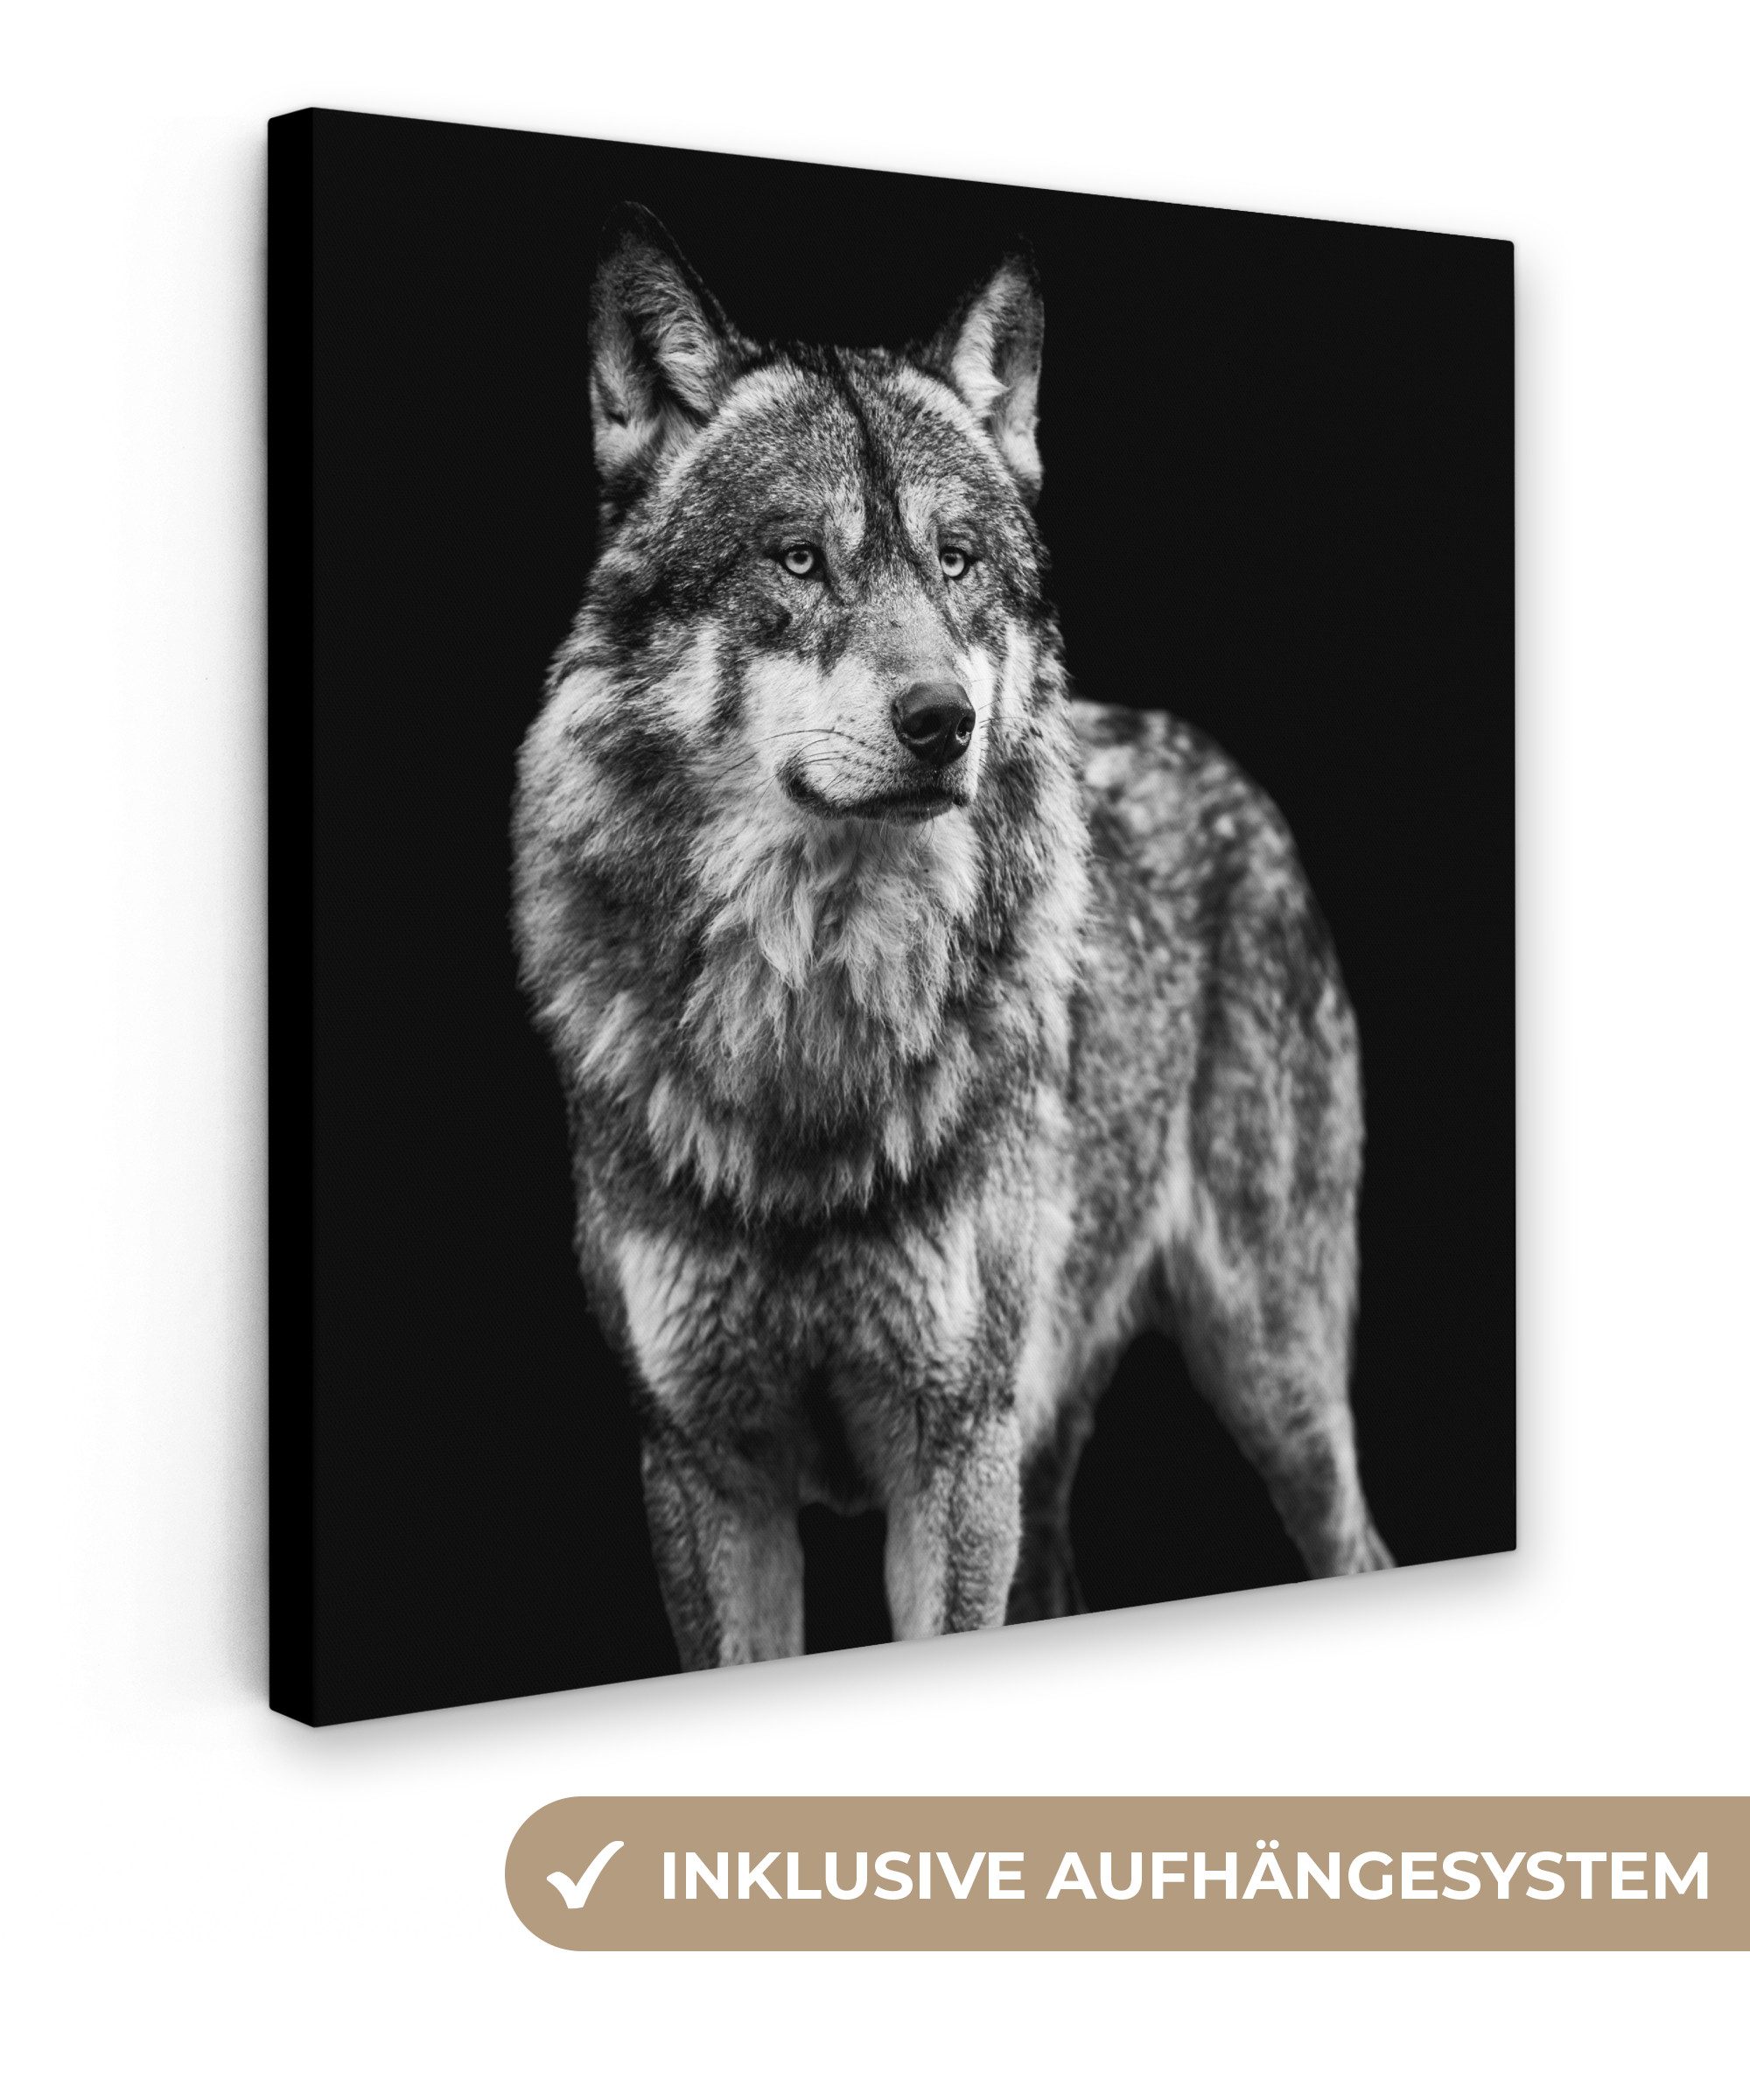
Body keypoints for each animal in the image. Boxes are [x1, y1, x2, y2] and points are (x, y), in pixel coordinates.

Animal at [512, 204, 1392, 1670]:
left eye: (958, 561)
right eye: (798, 558)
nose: (944, 725)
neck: (813, 1021)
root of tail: (1220, 764)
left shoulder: (952, 1453)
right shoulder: (703, 1470)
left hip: (1273, 1384)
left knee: (1358, 1546)